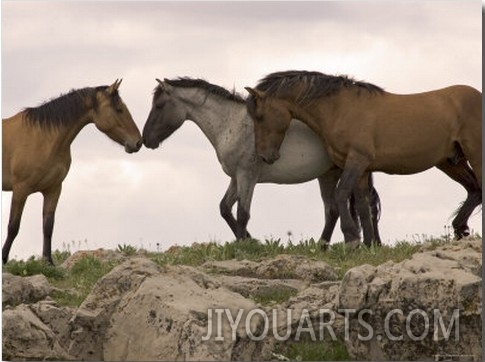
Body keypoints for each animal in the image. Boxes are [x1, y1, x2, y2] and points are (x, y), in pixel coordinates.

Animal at [2, 80, 142, 264]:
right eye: (119, 109)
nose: (138, 142)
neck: (42, 138)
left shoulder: (53, 189)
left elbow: (48, 226)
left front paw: (48, 262)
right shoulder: (20, 189)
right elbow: (13, 226)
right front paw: (3, 259)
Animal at [142, 77, 380, 245]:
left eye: (159, 105)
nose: (145, 139)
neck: (232, 124)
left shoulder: (247, 176)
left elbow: (242, 213)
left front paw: (244, 245)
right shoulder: (236, 177)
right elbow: (225, 208)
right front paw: (249, 240)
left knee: (355, 206)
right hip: (329, 174)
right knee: (337, 209)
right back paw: (325, 245)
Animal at [246, 70, 480, 246]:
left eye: (260, 116)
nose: (265, 156)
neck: (340, 109)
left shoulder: (357, 160)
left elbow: (341, 193)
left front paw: (352, 238)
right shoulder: (362, 169)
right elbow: (362, 205)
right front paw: (369, 244)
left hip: (474, 153)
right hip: (450, 162)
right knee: (475, 190)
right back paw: (460, 228)